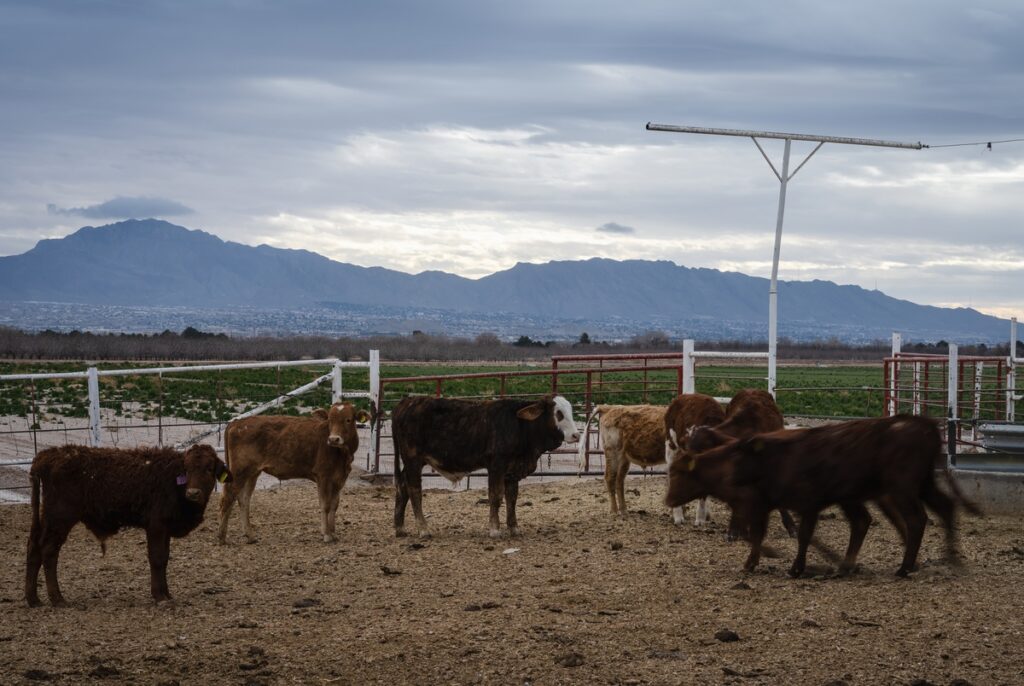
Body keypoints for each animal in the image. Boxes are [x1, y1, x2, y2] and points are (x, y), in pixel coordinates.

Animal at [23, 444, 232, 610]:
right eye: (187, 469)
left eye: (209, 468)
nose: (193, 493)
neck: (173, 482)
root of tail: (48, 454)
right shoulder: (156, 526)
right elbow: (157, 558)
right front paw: (159, 596)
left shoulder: (165, 529)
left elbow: (165, 558)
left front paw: (167, 593)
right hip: (60, 518)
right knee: (49, 551)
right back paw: (57, 598)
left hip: (45, 518)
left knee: (34, 548)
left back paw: (33, 599)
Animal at [218, 401, 370, 544]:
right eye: (330, 420)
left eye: (348, 420)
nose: (333, 439)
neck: (342, 455)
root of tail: (237, 422)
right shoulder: (323, 477)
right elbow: (325, 505)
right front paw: (326, 534)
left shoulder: (339, 479)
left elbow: (334, 505)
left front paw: (333, 533)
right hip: (239, 471)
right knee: (228, 498)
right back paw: (221, 537)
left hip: (252, 473)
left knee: (243, 500)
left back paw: (250, 536)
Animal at [391, 395, 581, 540]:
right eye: (559, 414)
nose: (576, 435)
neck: (519, 425)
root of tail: (407, 401)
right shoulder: (496, 465)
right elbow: (496, 497)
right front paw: (495, 529)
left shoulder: (512, 472)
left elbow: (512, 498)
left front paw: (514, 528)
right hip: (413, 460)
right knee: (414, 491)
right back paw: (423, 529)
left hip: (412, 463)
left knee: (402, 487)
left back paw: (400, 528)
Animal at [667, 413, 978, 581]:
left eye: (680, 474)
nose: (668, 501)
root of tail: (923, 424)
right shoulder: (768, 504)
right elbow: (759, 533)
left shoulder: (801, 503)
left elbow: (799, 534)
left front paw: (795, 566)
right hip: (919, 485)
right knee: (942, 509)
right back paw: (947, 558)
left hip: (901, 489)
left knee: (914, 520)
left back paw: (903, 567)